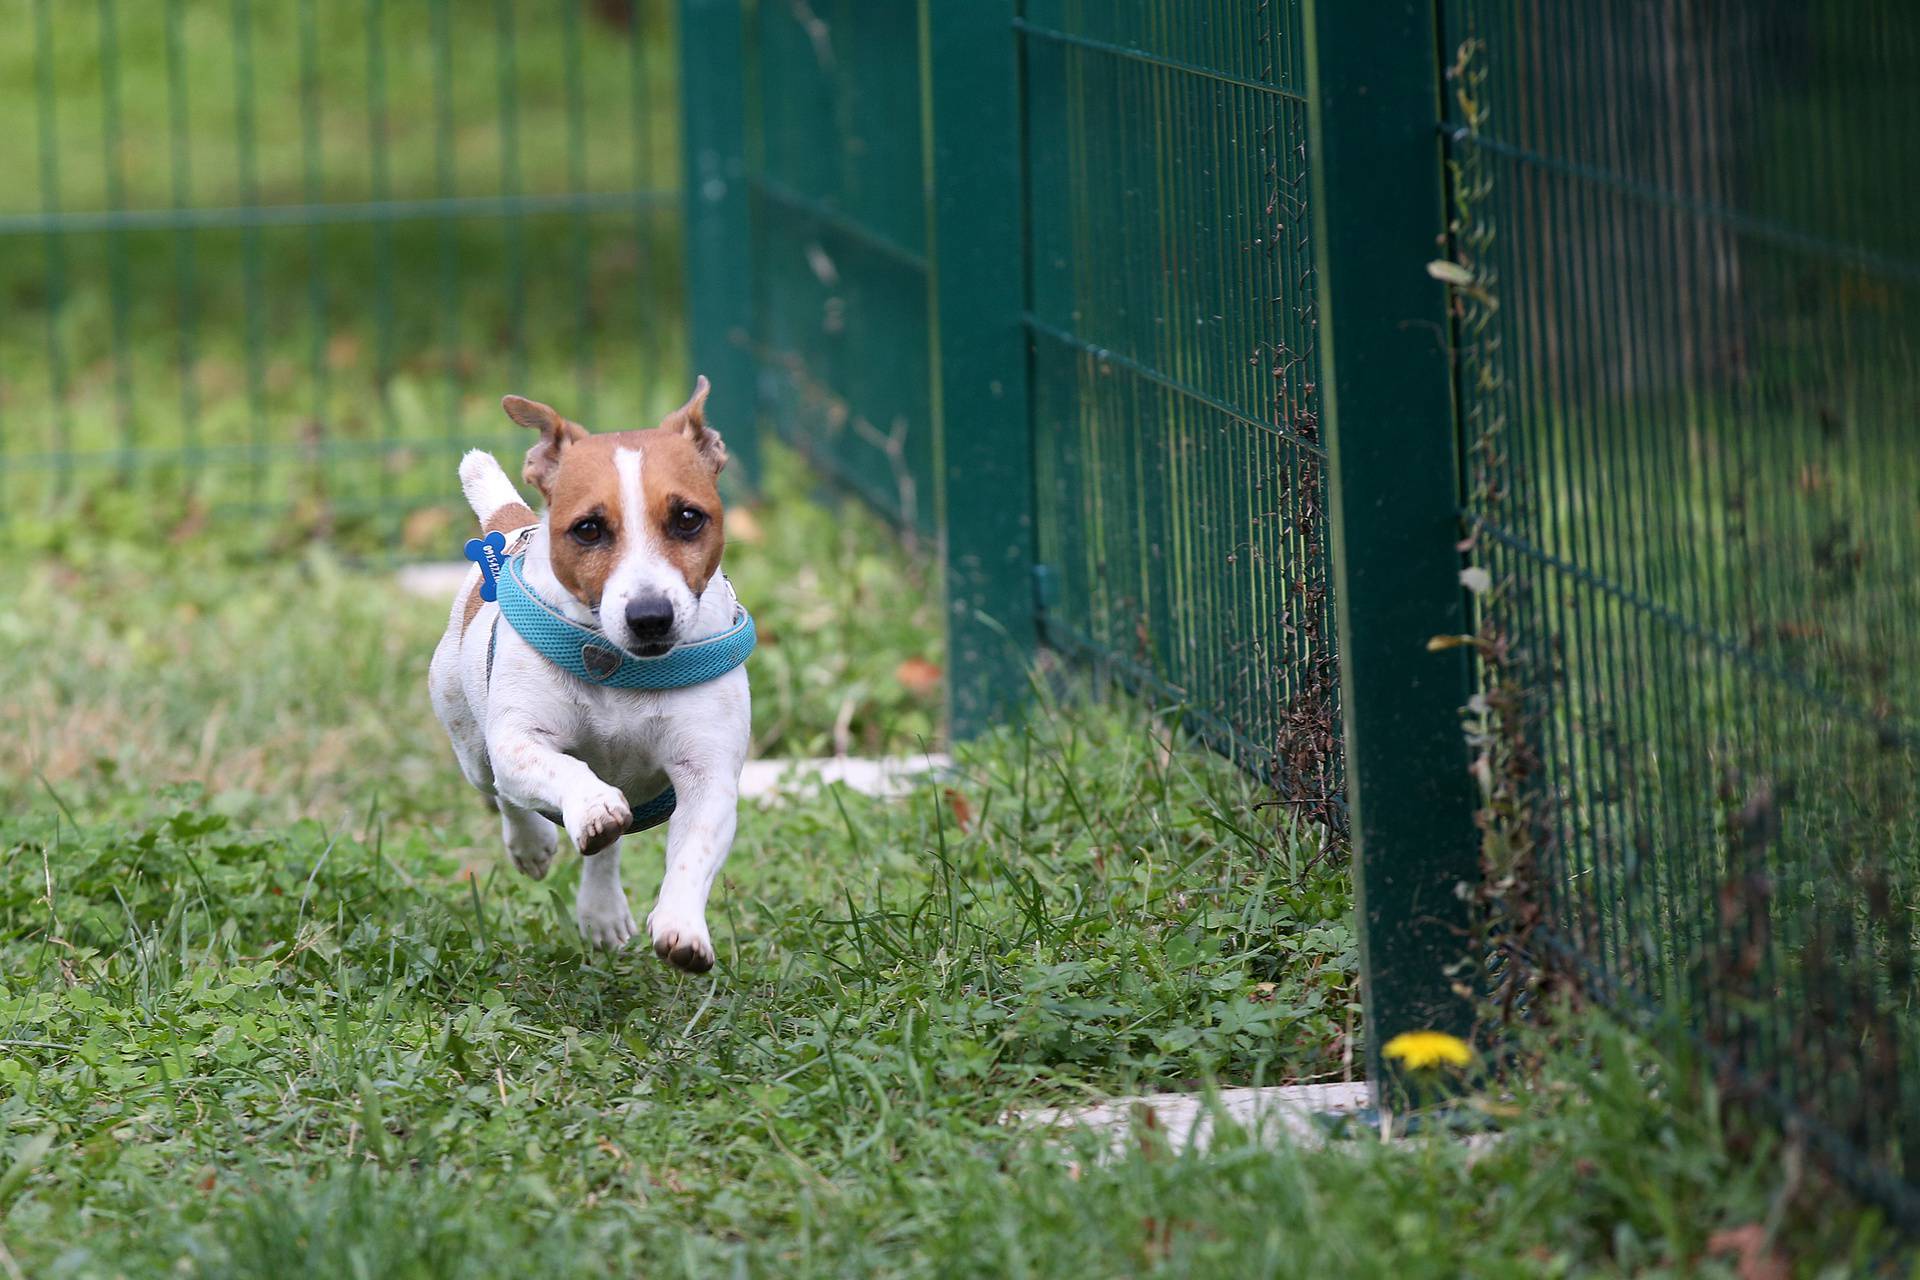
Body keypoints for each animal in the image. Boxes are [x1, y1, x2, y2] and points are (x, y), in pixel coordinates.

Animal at [428, 379, 748, 971]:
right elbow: (560, 770)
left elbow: (692, 852)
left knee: (606, 848)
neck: (624, 665)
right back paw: (532, 843)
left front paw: (681, 927)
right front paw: (592, 807)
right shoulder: (519, 741)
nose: (650, 616)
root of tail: (512, 525)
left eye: (688, 518)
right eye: (589, 529)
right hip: (471, 746)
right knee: (503, 792)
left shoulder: (708, 774)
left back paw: (601, 909)